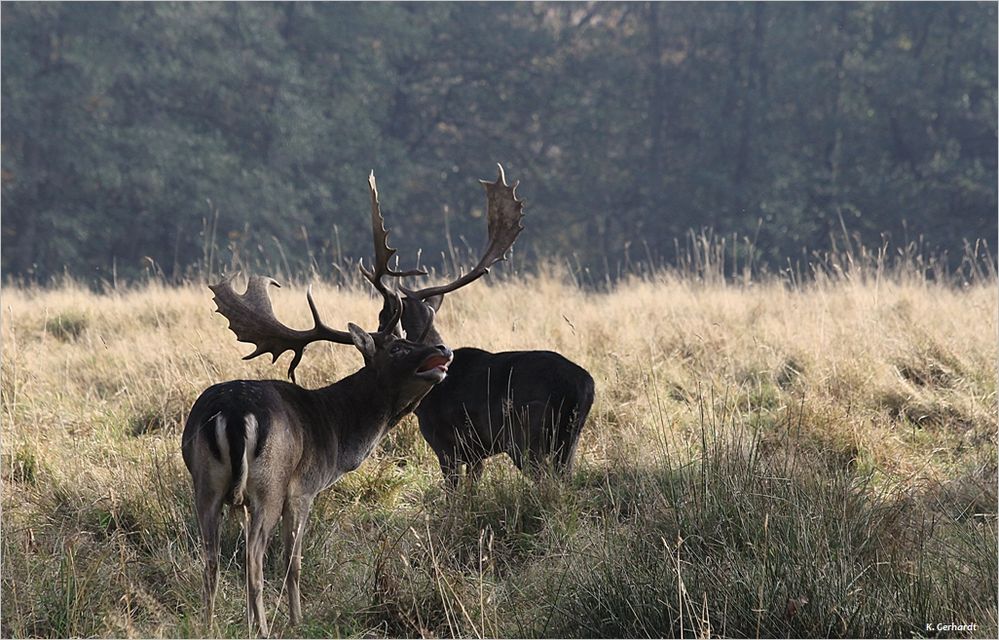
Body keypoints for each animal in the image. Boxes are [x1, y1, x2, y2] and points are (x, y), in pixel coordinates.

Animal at [181, 174, 454, 636]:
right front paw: (297, 619)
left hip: (206, 483)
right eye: (399, 348)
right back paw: (262, 628)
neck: (338, 435)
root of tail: (234, 415)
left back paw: (207, 625)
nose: (443, 351)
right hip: (268, 485)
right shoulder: (304, 488)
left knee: (211, 559)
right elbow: (294, 562)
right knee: (254, 559)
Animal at [376, 165, 592, 484]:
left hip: (526, 435)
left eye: (382, 318)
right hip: (570, 439)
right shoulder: (477, 453)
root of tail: (583, 386)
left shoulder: (446, 444)